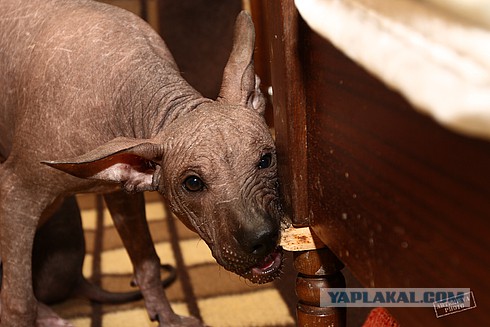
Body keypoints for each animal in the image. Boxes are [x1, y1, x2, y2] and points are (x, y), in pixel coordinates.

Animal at [0, 1, 284, 326]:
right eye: (193, 183)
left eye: (265, 160)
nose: (261, 238)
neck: (130, 84)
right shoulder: (16, 194)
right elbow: (18, 303)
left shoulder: (121, 194)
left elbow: (147, 261)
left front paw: (166, 316)